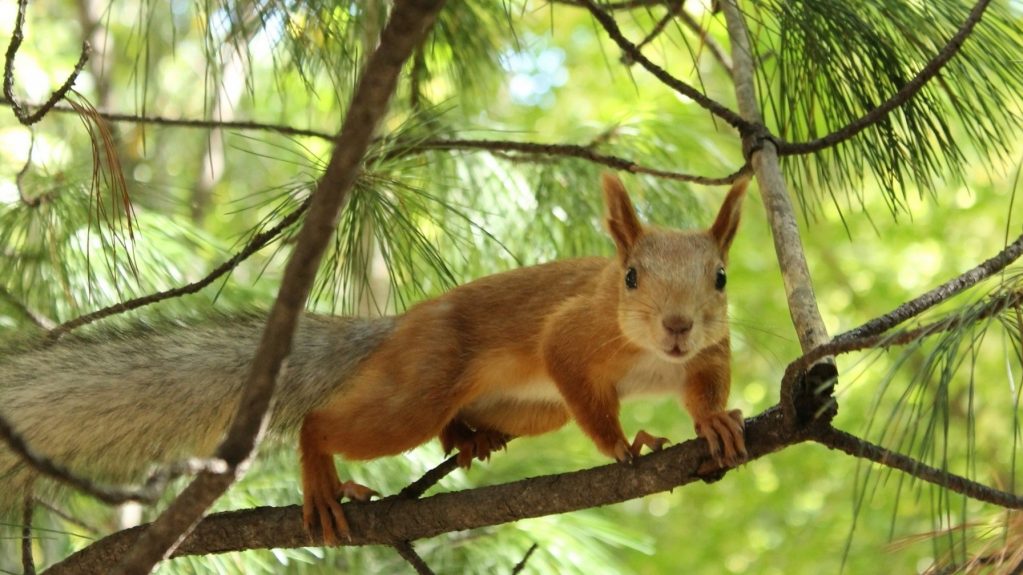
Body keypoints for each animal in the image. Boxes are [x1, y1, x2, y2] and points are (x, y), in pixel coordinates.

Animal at [0, 173, 748, 547]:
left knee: (461, 422)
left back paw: (470, 437)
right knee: (328, 423)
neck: (651, 353)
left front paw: (714, 424)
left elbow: (704, 386)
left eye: (720, 277)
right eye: (630, 277)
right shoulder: (571, 335)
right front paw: (626, 445)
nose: (677, 325)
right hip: (419, 384)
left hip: (529, 408)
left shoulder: (709, 351)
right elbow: (581, 385)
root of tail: (396, 329)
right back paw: (322, 478)